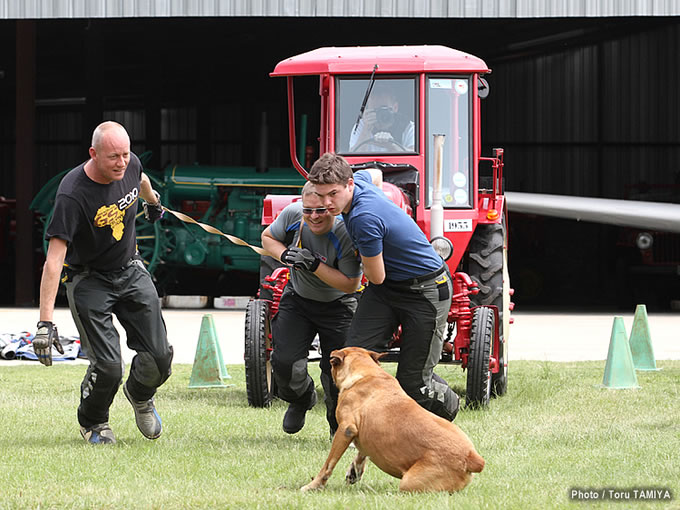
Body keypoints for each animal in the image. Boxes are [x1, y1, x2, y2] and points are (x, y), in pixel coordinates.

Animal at [302, 344, 484, 492]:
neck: (365, 373)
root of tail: (471, 458)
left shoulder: (345, 430)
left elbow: (328, 464)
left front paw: (314, 485)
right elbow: (362, 454)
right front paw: (354, 471)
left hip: (409, 482)